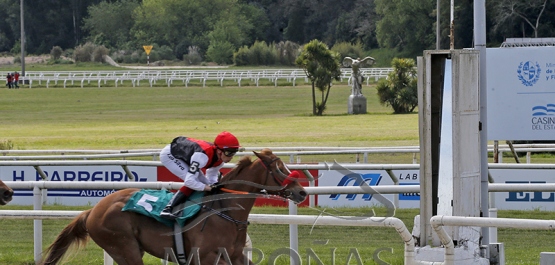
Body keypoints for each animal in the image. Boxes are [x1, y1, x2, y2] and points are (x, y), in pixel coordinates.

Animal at [39, 148, 308, 264]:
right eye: (278, 169)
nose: (302, 191)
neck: (225, 211)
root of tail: (92, 211)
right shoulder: (205, 258)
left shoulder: (235, 256)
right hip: (124, 247)